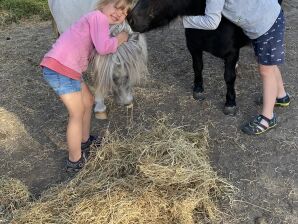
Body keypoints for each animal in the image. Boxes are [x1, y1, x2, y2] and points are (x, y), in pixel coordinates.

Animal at [127, 0, 282, 114]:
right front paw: (198, 89)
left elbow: (229, 77)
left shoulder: (231, 53)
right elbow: (197, 67)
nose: (131, 19)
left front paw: (230, 103)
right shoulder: (193, 46)